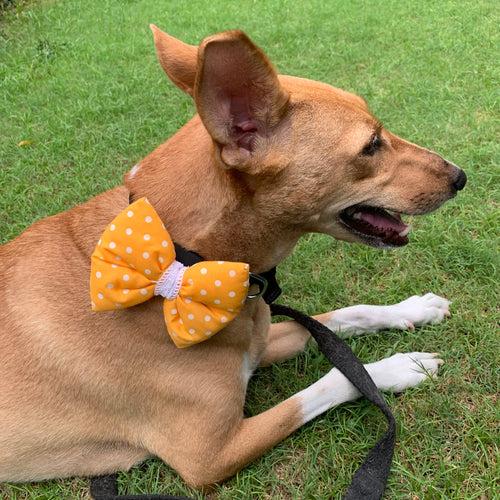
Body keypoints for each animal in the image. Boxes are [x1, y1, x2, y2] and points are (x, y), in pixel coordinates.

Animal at [1, 25, 466, 486]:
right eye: (371, 146)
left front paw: (413, 309)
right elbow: (336, 378)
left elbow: (344, 316)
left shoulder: (259, 344)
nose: (460, 177)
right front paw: (399, 367)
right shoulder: (208, 457)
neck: (183, 260)